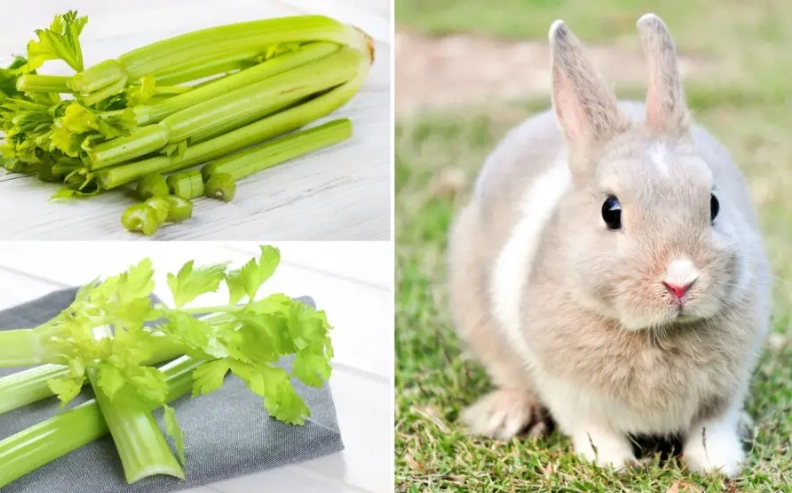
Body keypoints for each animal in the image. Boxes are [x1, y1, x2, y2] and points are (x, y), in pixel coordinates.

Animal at [447, 13, 770, 477]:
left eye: (713, 203)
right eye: (610, 211)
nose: (680, 281)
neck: (655, 334)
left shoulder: (727, 386)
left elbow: (713, 425)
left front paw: (718, 464)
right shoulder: (566, 388)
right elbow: (593, 427)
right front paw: (614, 463)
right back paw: (507, 416)